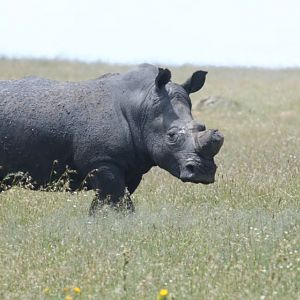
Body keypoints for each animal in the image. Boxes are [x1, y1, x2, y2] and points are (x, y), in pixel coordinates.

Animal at [0, 63, 224, 213]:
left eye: (202, 127)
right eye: (171, 136)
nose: (203, 172)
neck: (142, 105)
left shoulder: (132, 164)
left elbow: (109, 201)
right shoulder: (103, 160)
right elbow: (119, 201)